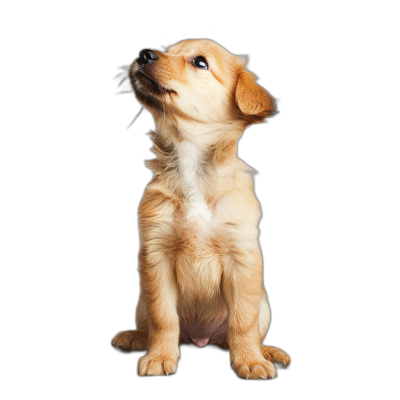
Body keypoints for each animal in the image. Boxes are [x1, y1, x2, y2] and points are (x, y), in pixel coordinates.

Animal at [111, 39, 290, 380]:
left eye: (200, 62)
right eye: (168, 50)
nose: (143, 53)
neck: (191, 162)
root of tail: (200, 339)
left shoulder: (243, 257)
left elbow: (242, 322)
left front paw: (250, 361)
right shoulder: (155, 255)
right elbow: (163, 317)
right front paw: (159, 357)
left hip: (264, 305)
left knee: (242, 331)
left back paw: (267, 351)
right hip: (142, 302)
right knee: (149, 324)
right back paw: (135, 338)